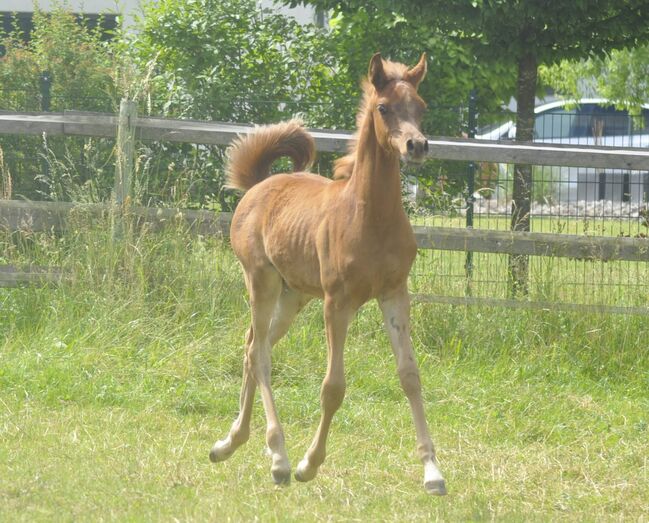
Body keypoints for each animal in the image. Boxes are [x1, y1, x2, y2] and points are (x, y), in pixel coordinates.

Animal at [211, 54, 446, 500]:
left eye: (422, 107)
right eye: (383, 107)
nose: (417, 145)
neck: (370, 216)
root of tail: (258, 187)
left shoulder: (395, 293)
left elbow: (410, 376)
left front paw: (432, 471)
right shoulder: (338, 302)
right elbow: (333, 387)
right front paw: (309, 464)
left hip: (293, 296)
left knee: (251, 346)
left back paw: (231, 442)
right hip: (261, 281)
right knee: (260, 355)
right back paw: (280, 459)